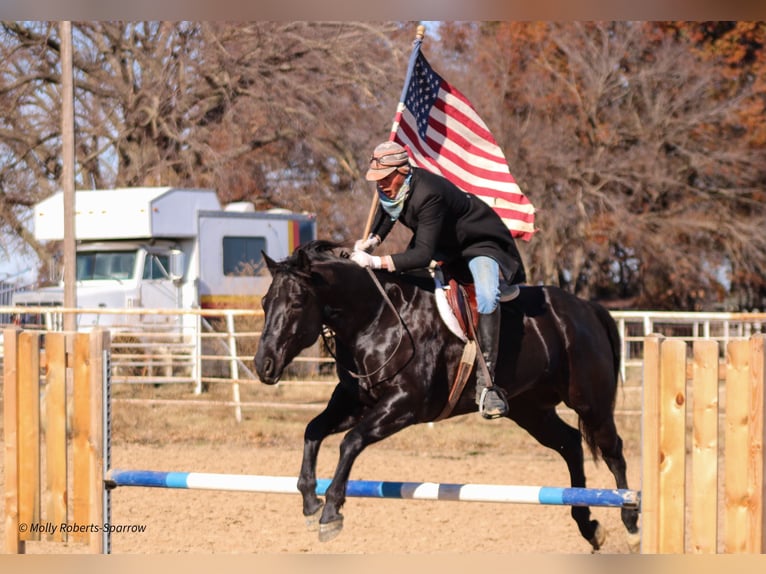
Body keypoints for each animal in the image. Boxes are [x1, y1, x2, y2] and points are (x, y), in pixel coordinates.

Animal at [256, 242, 640, 552]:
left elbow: (350, 442)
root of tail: (588, 308)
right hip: (531, 410)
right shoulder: (356, 402)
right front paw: (310, 503)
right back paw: (588, 526)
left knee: (613, 452)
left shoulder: (404, 405)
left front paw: (332, 511)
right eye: (264, 302)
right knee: (570, 444)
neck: (376, 317)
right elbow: (313, 430)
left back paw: (631, 522)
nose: (264, 365)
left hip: (590, 403)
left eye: (297, 302)